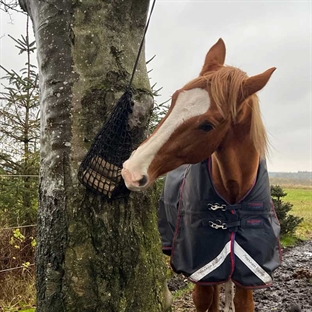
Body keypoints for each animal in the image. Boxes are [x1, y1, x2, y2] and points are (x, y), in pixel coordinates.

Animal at [121, 39, 280, 312]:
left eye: (208, 125)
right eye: (175, 98)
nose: (131, 170)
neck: (233, 195)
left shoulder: (250, 275)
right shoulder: (201, 272)